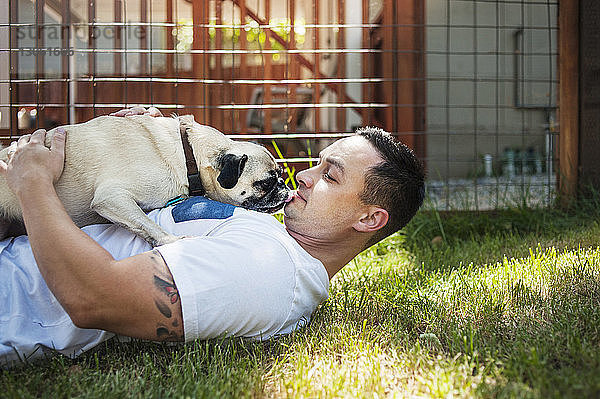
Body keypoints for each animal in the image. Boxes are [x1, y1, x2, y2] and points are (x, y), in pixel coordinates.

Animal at [0, 115, 290, 247]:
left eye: (280, 177)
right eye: (265, 183)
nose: (285, 188)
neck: (188, 154)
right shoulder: (113, 198)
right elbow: (147, 223)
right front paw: (172, 242)